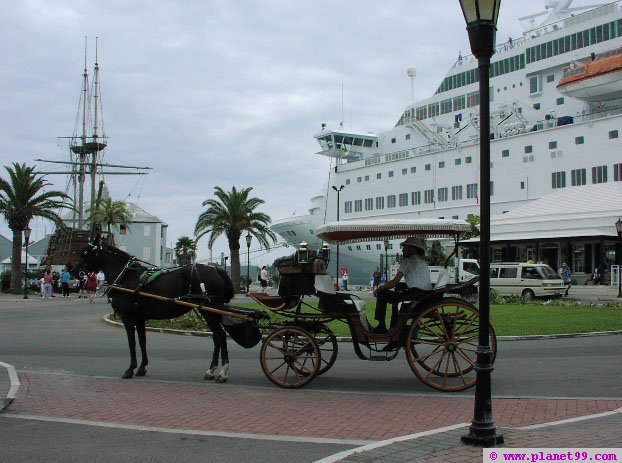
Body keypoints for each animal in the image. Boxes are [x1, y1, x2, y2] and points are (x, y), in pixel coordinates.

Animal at [80, 237, 264, 382]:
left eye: (86, 252)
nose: (77, 272)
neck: (126, 276)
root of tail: (216, 269)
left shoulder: (128, 317)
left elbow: (131, 342)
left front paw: (130, 369)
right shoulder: (140, 318)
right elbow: (142, 341)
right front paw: (142, 368)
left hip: (209, 311)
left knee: (219, 336)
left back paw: (221, 372)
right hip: (211, 311)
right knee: (217, 337)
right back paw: (212, 371)